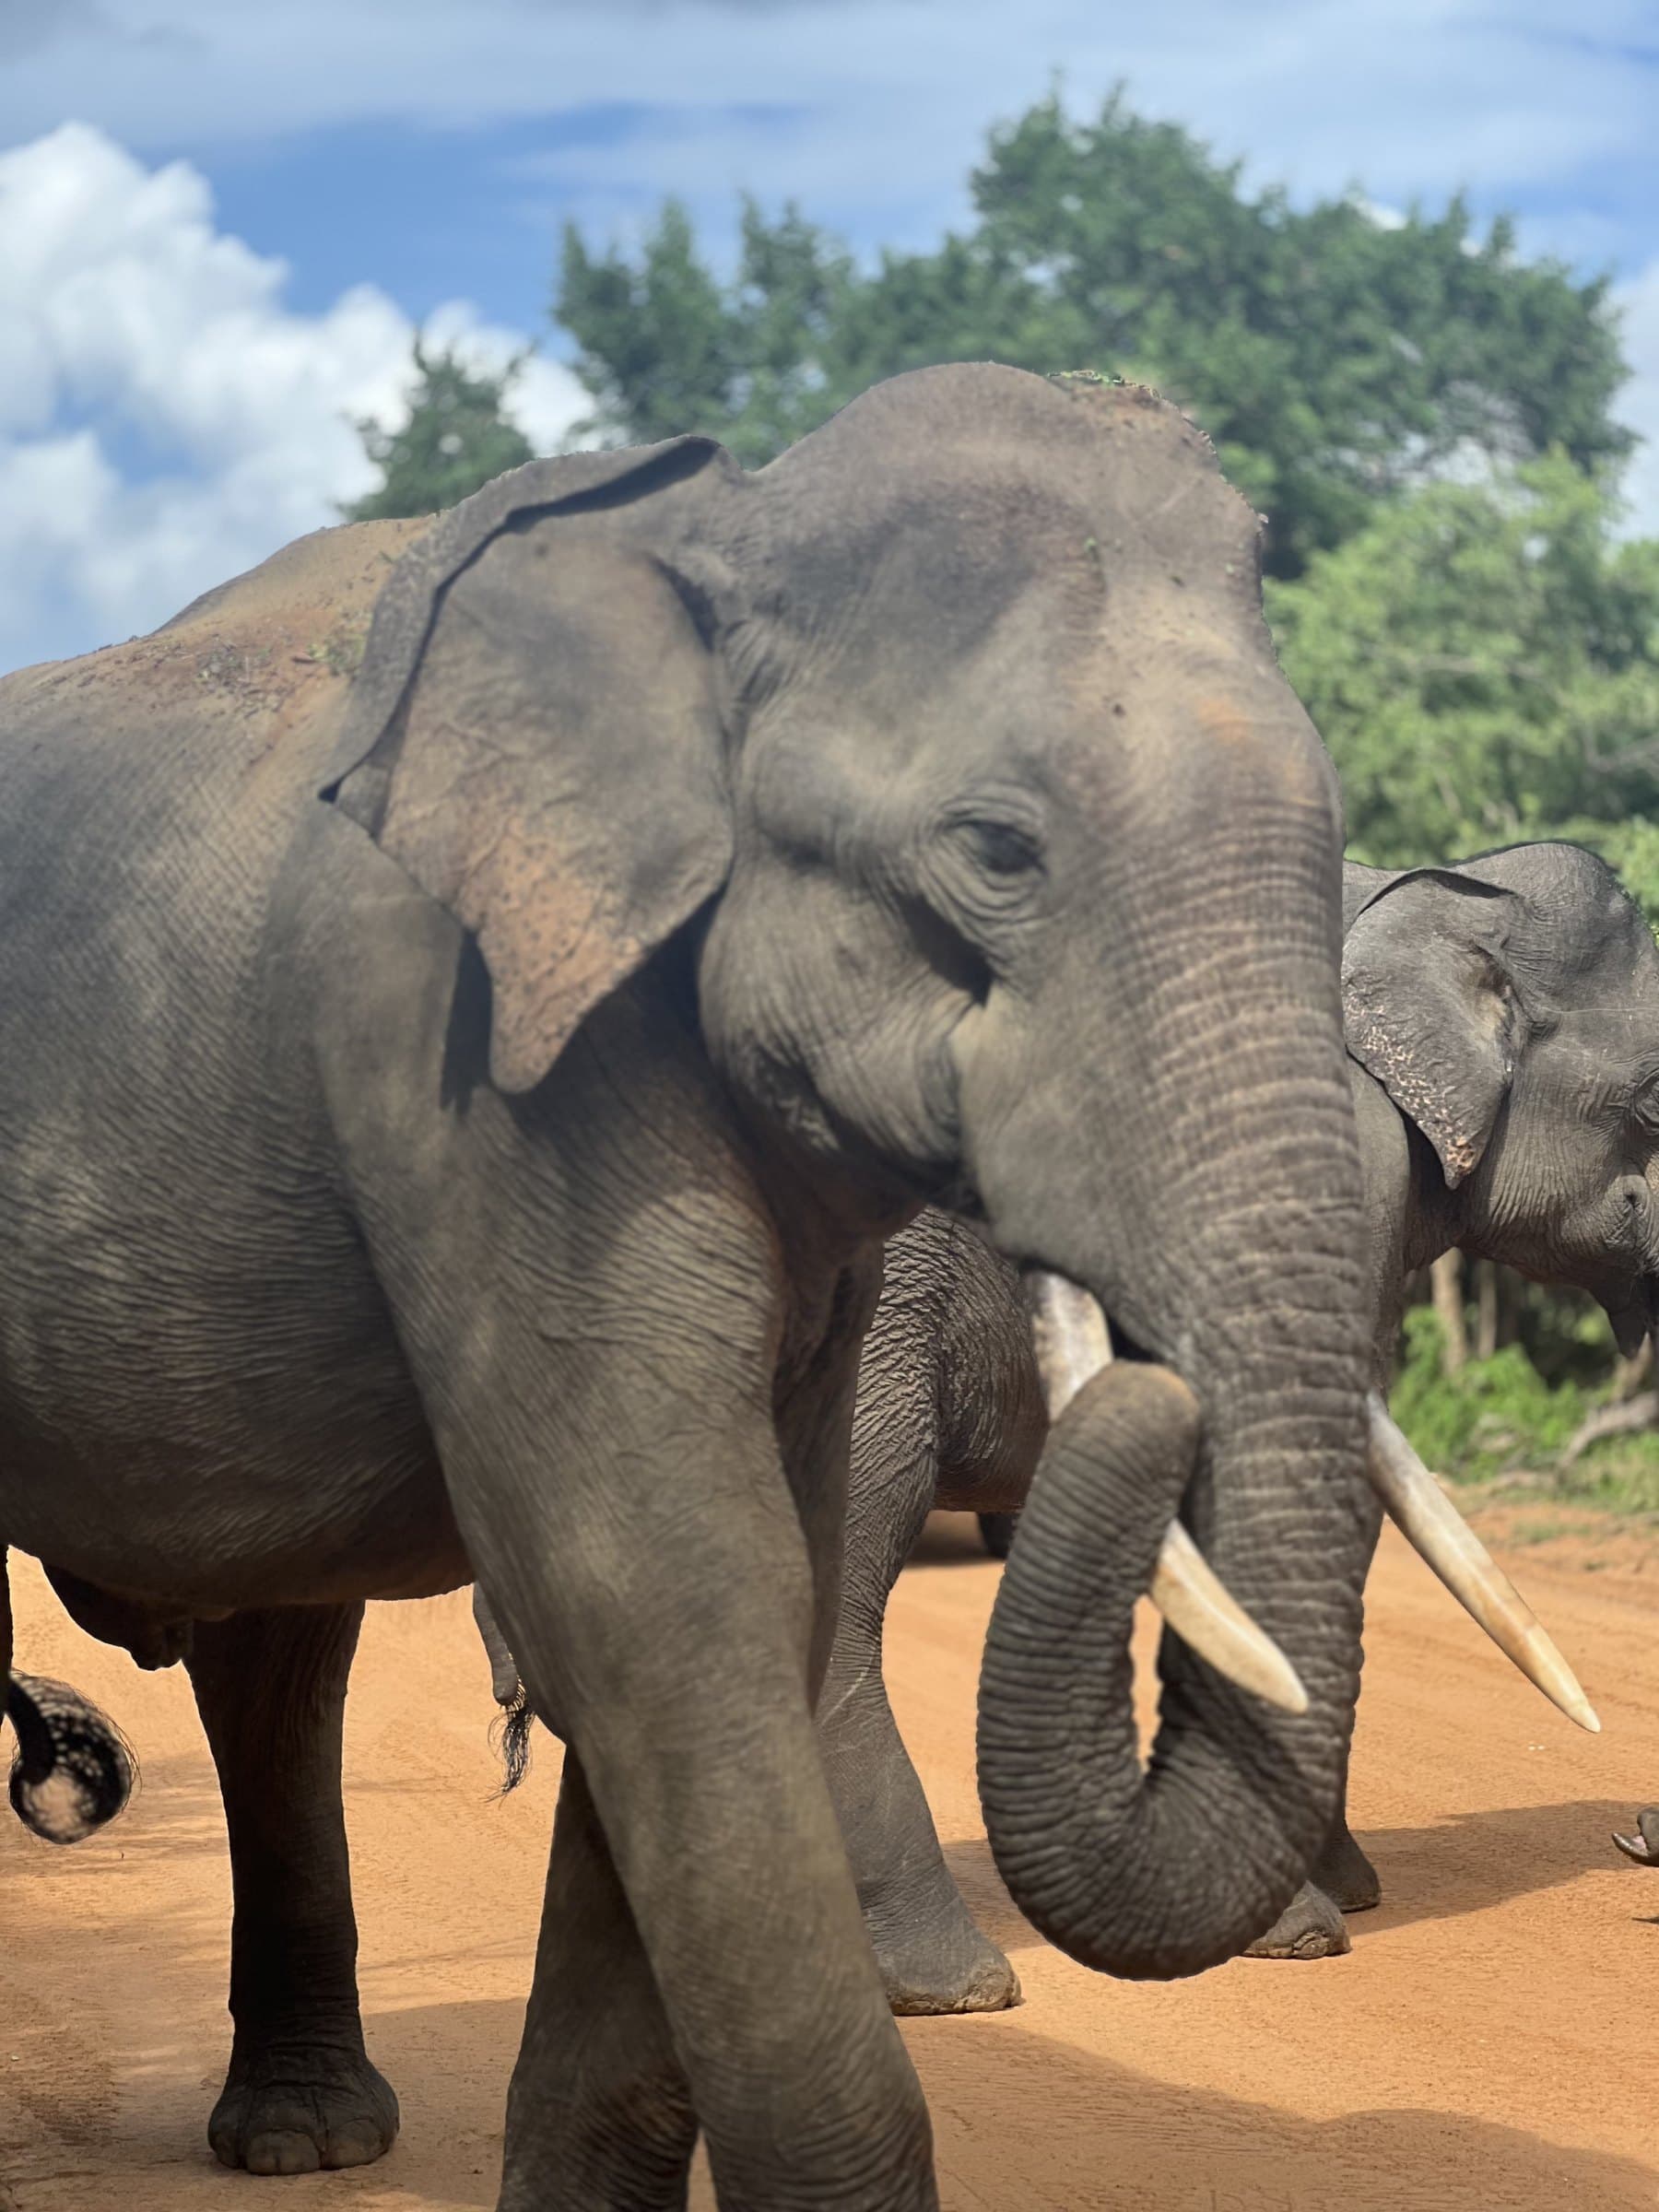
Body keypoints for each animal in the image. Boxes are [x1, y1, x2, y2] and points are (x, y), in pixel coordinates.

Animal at [0, 363, 1381, 2211]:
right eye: (996, 851)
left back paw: (304, 2140)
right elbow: (661, 1596)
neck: (715, 533)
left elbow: (746, 1597)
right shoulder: (461, 1055)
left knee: (279, 1663)